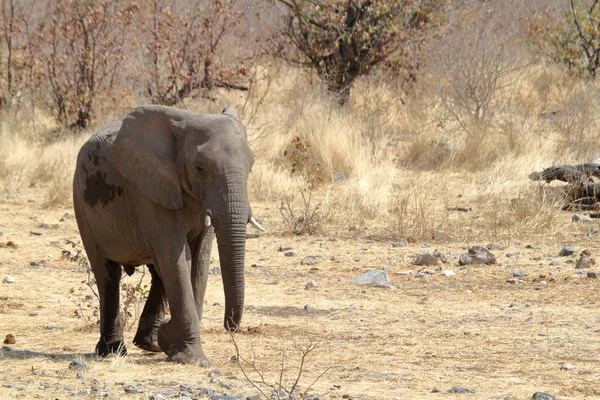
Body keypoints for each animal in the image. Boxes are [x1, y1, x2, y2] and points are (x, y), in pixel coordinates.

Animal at [71, 104, 264, 364]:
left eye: (251, 167)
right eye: (200, 169)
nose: (229, 327)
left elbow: (199, 261)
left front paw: (172, 344)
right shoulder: (148, 191)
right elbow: (175, 257)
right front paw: (192, 359)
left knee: (158, 273)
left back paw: (150, 344)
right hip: (82, 203)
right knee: (107, 274)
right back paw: (112, 350)